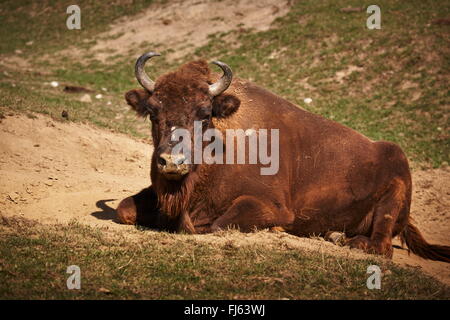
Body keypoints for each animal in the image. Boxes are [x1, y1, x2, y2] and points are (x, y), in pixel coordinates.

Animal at [118, 52, 450, 262]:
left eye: (204, 113)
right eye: (153, 113)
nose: (172, 162)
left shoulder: (270, 206)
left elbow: (216, 225)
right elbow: (124, 210)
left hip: (391, 201)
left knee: (381, 244)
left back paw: (346, 240)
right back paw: (334, 235)